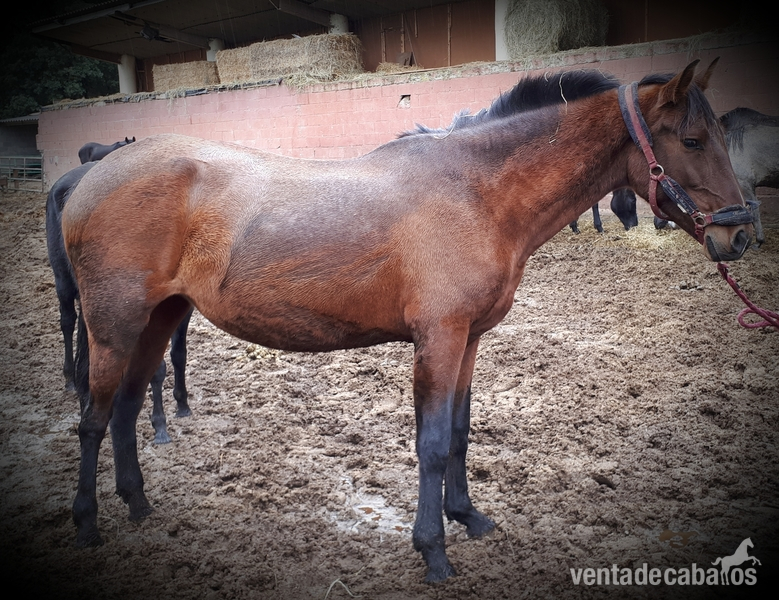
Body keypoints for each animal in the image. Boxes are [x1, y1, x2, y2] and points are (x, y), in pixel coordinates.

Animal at [46, 162, 192, 444]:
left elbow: (178, 353)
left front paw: (182, 404)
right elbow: (156, 368)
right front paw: (159, 424)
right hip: (64, 281)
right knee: (67, 322)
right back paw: (70, 379)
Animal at [61, 59, 753, 583]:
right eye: (692, 141)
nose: (741, 234)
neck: (474, 191)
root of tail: (87, 179)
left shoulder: (468, 340)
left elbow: (461, 433)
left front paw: (468, 517)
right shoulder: (438, 338)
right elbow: (433, 442)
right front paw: (434, 552)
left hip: (158, 320)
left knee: (125, 411)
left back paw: (138, 505)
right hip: (113, 325)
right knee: (93, 419)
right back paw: (87, 525)